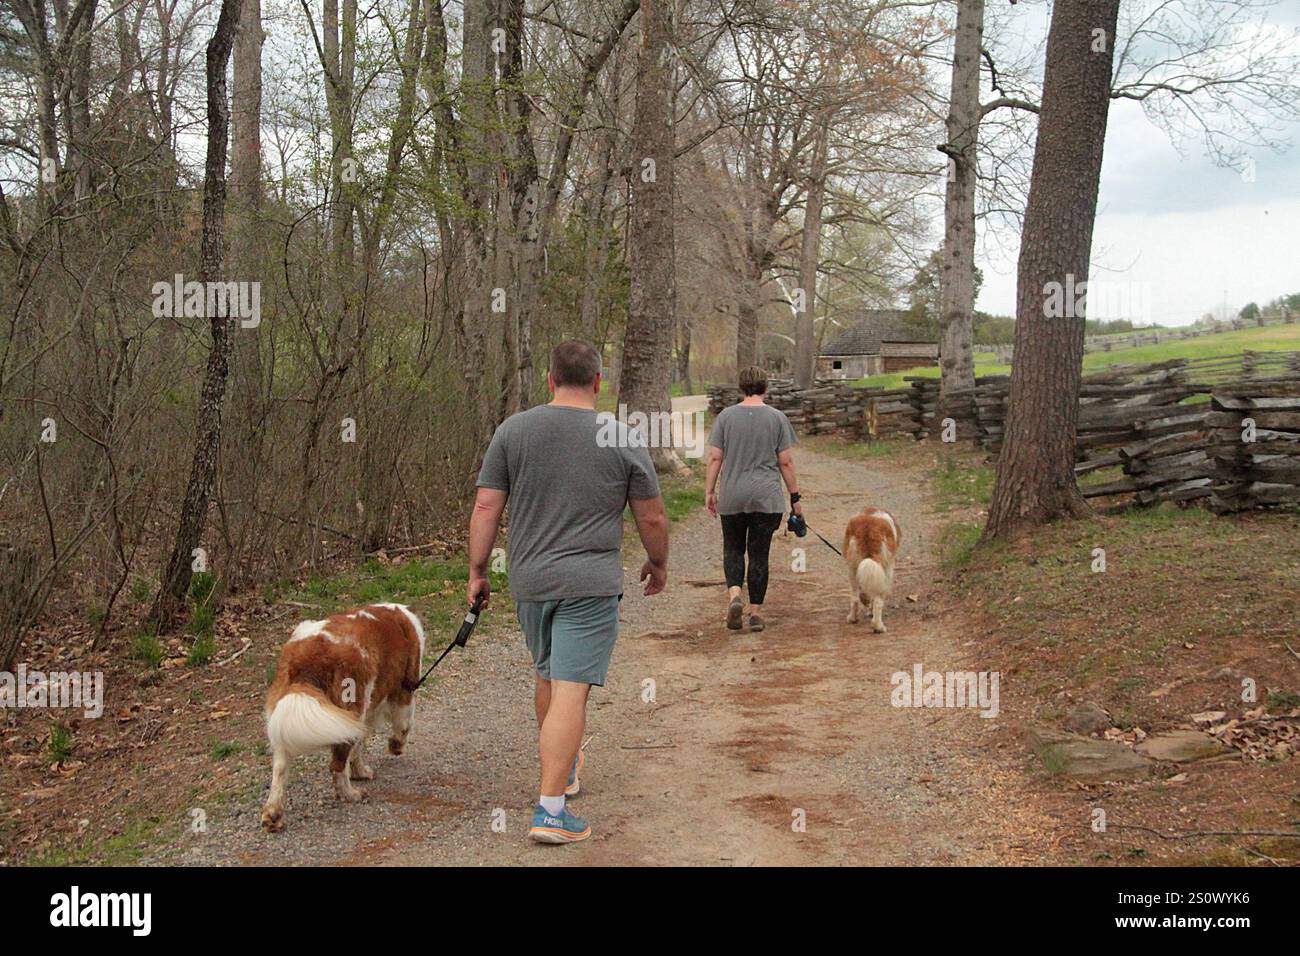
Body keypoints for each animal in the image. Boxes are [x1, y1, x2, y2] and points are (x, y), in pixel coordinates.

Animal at [260, 606, 426, 832]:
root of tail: (308, 657)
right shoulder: (404, 693)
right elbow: (403, 726)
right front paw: (395, 746)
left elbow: (360, 744)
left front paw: (360, 770)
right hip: (351, 706)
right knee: (336, 765)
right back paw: (350, 794)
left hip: (287, 718)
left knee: (280, 768)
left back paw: (273, 814)